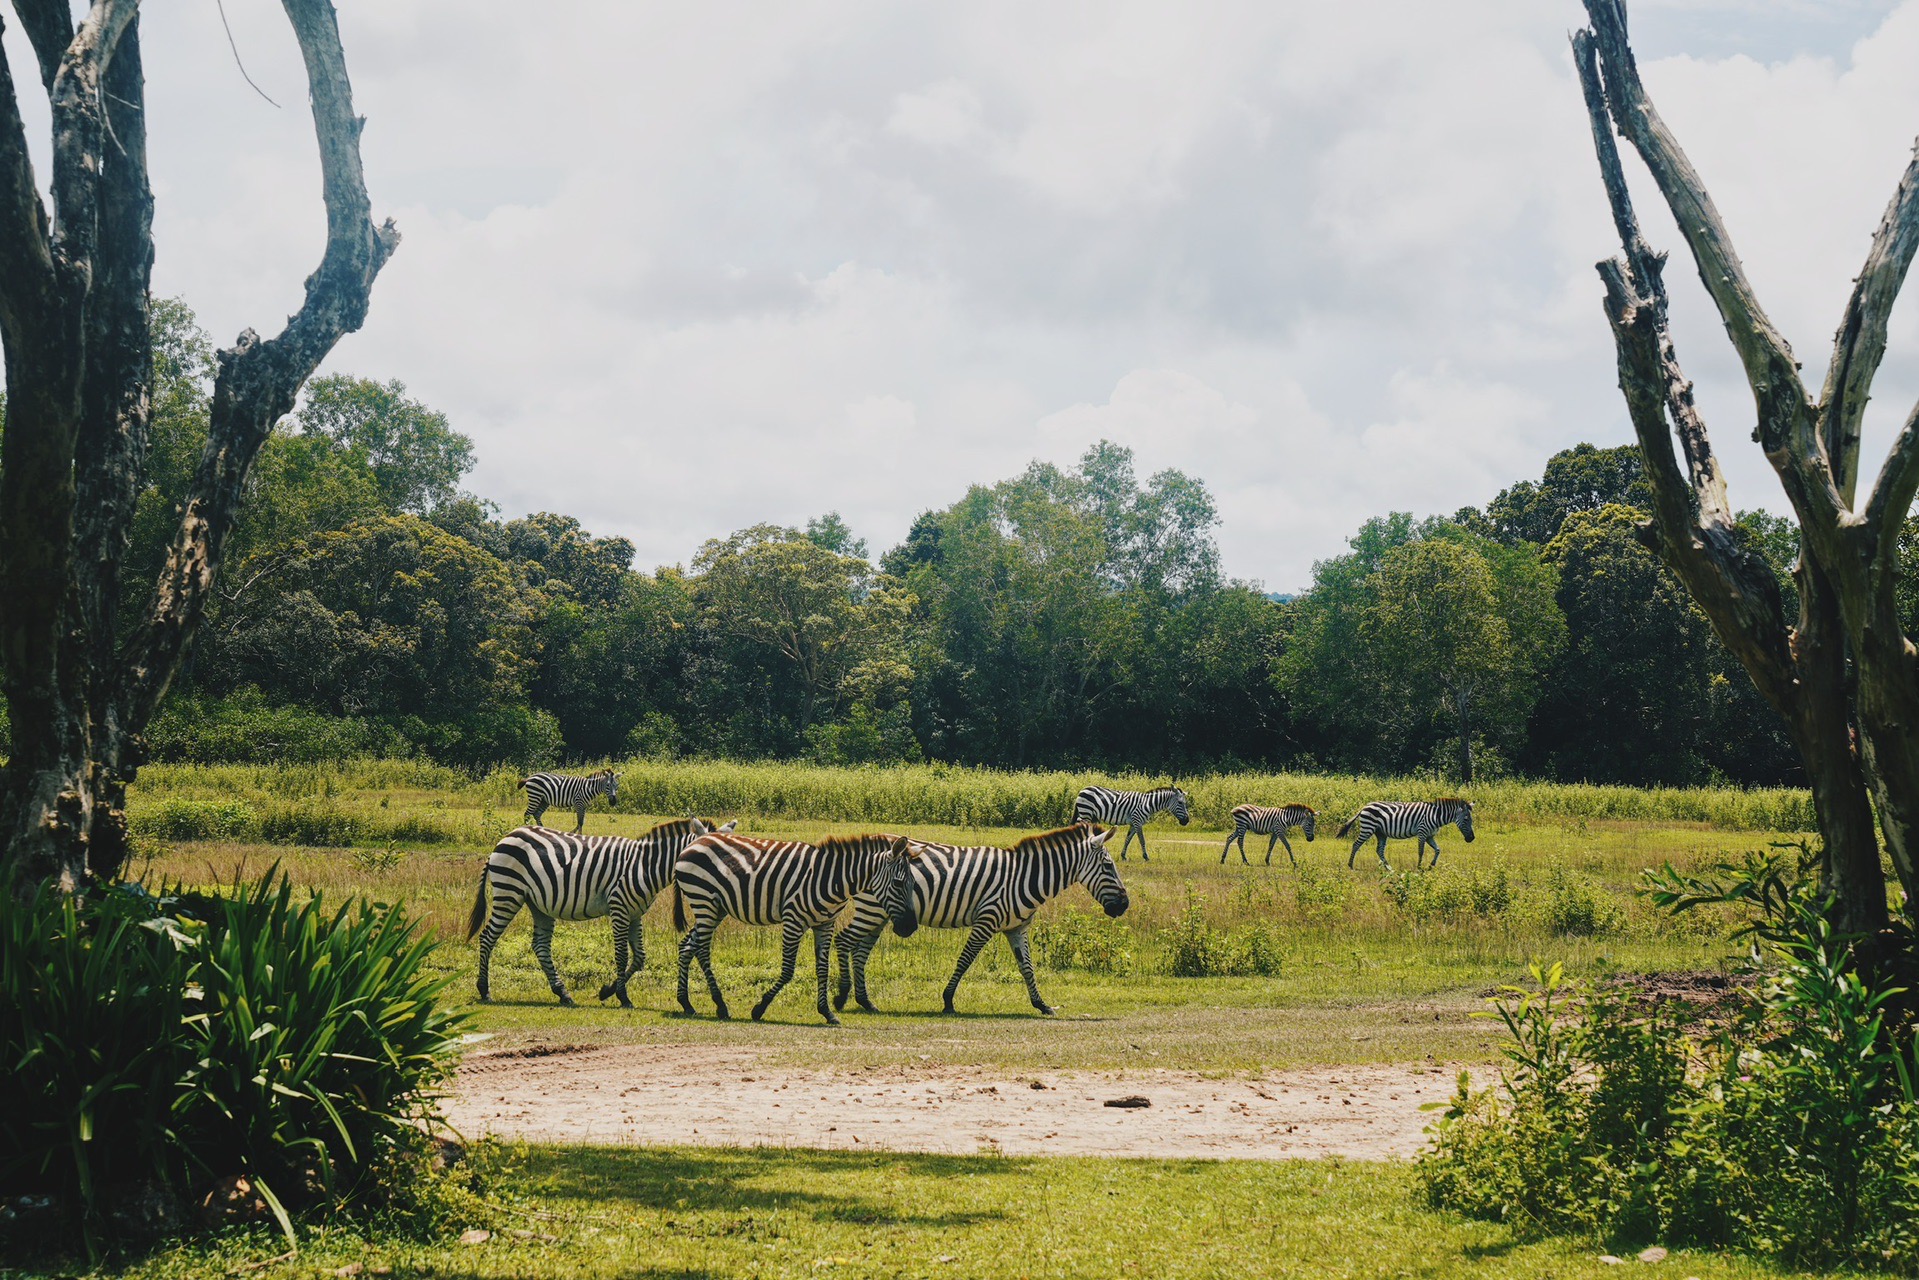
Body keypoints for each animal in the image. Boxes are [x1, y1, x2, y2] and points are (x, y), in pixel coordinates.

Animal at [464, 817, 733, 1005]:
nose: (727, 880)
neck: (645, 865)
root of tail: (505, 838)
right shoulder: (619, 908)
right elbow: (622, 955)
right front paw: (623, 997)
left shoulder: (635, 913)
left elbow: (639, 957)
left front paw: (608, 991)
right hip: (509, 892)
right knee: (488, 937)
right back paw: (484, 990)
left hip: (537, 904)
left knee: (540, 946)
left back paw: (562, 993)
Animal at [667, 832, 921, 1028]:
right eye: (898, 883)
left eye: (913, 884)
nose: (910, 927)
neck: (831, 880)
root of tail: (694, 842)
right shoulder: (793, 921)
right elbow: (788, 970)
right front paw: (759, 1008)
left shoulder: (825, 924)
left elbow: (822, 969)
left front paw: (827, 1012)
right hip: (704, 901)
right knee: (702, 950)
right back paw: (720, 1005)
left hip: (716, 908)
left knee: (687, 946)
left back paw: (686, 1003)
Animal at [836, 821, 1120, 1020]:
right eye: (1108, 866)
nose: (1124, 905)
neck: (1024, 878)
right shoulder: (986, 921)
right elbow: (965, 960)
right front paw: (948, 1001)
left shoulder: (1017, 928)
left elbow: (1027, 968)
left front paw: (1042, 1004)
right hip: (872, 909)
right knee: (844, 940)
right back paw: (842, 996)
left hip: (882, 914)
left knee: (860, 952)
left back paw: (866, 1002)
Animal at [1343, 794, 1473, 875]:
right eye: (1466, 819)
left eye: (1471, 820)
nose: (1471, 838)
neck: (1436, 816)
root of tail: (1364, 807)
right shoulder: (1422, 832)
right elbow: (1421, 851)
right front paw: (1419, 868)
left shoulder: (1429, 836)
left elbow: (1438, 849)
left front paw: (1431, 865)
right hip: (1368, 828)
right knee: (1356, 845)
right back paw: (1350, 866)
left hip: (1380, 832)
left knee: (1379, 850)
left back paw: (1389, 868)